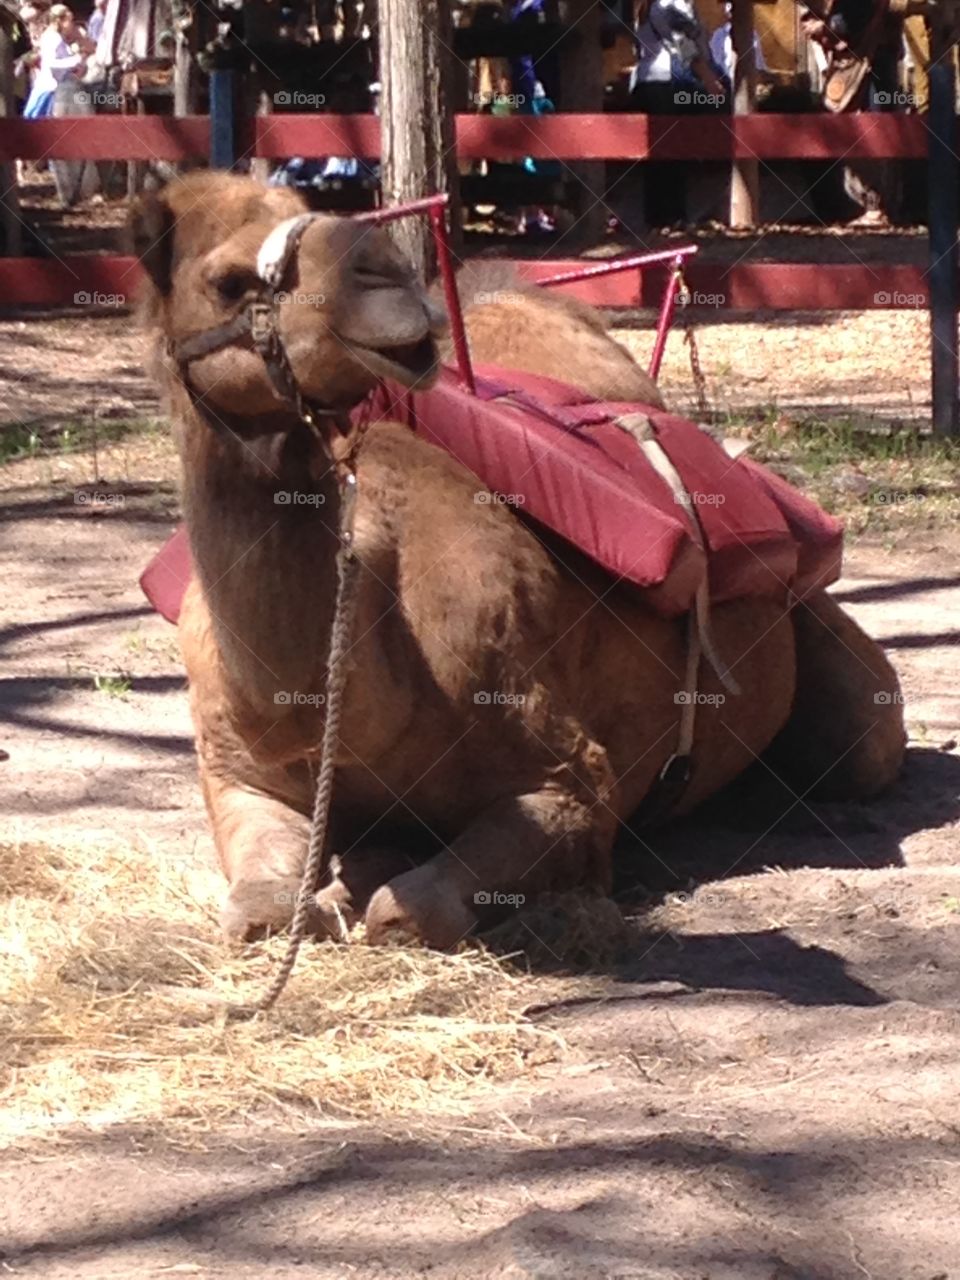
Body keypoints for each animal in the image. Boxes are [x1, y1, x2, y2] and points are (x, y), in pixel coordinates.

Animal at [133, 173, 905, 948]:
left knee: (863, 741)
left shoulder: (571, 778)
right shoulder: (236, 772)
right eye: (227, 282)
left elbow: (410, 912)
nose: (381, 271)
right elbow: (259, 911)